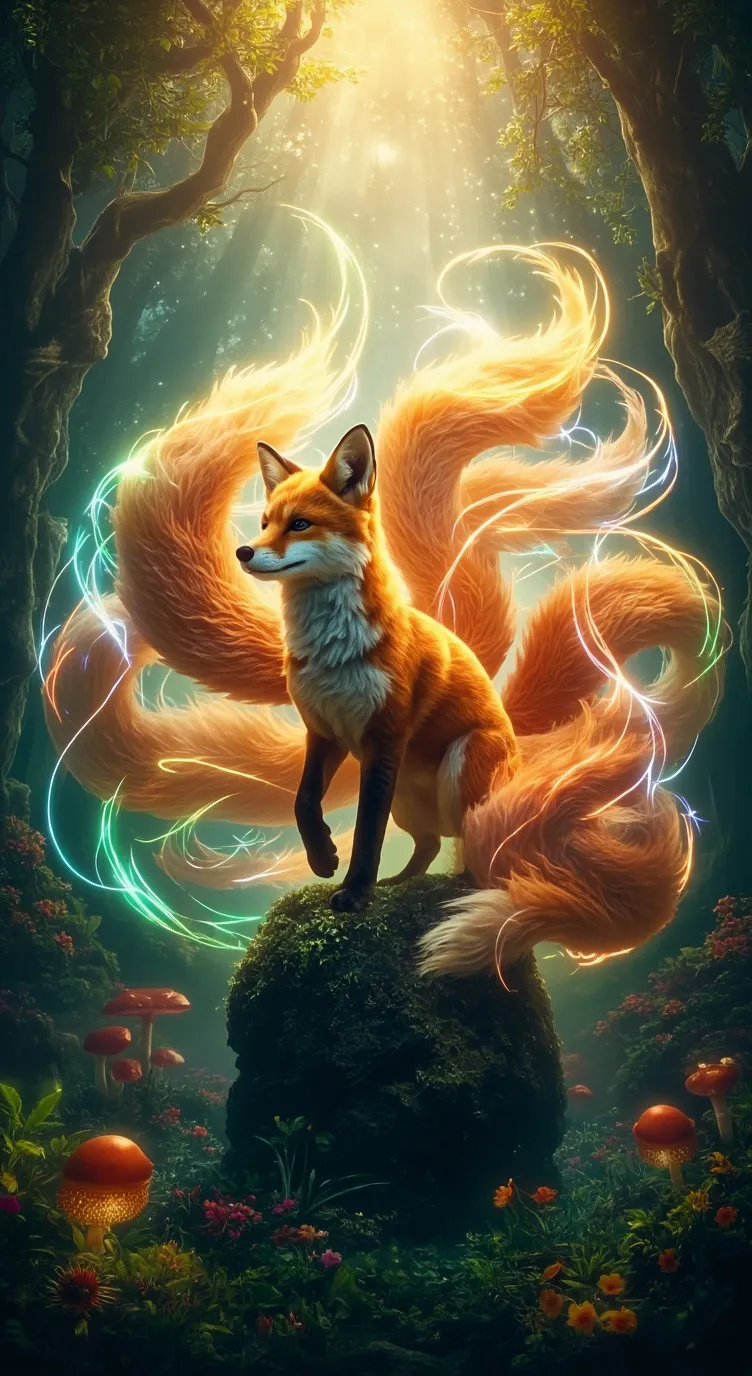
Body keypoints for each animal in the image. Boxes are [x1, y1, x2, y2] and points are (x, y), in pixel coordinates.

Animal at [43, 246, 726, 976]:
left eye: (301, 524)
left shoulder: (384, 739)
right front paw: (323, 860)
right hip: (412, 801)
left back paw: (454, 891)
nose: (244, 551)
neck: (332, 650)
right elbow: (304, 802)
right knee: (425, 848)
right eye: (265, 519)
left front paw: (352, 893)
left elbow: (364, 831)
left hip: (456, 769)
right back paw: (402, 886)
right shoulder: (323, 731)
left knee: (476, 853)